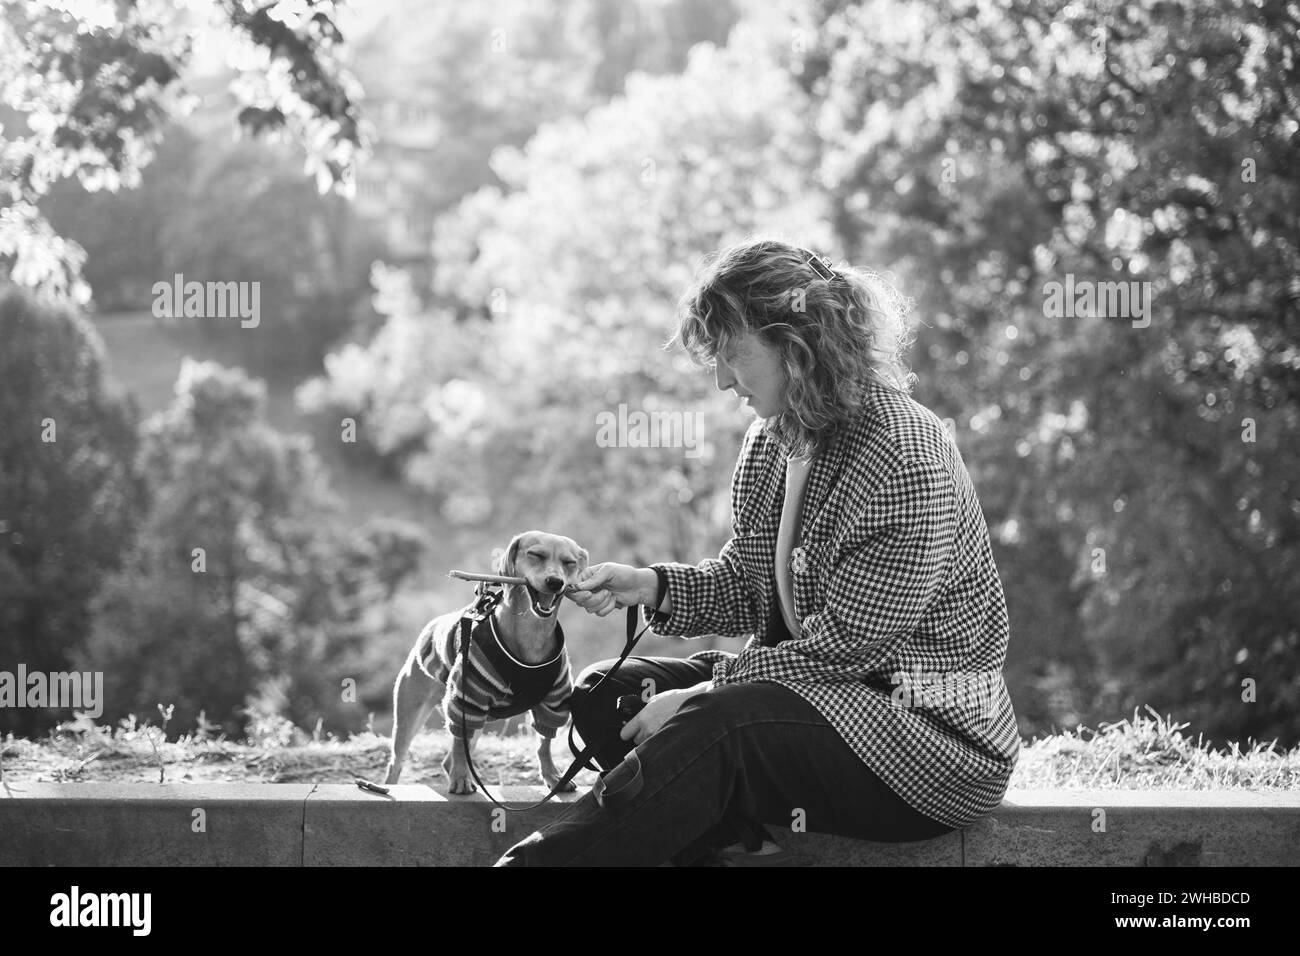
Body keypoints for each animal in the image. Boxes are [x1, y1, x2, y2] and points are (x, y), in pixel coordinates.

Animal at [379, 530, 590, 790]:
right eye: (535, 555)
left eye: (569, 562)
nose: (555, 582)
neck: (531, 634)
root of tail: (430, 627)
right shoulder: (466, 700)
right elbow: (460, 746)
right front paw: (461, 778)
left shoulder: (554, 702)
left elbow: (544, 742)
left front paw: (552, 775)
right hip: (412, 712)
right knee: (399, 761)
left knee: (450, 757)